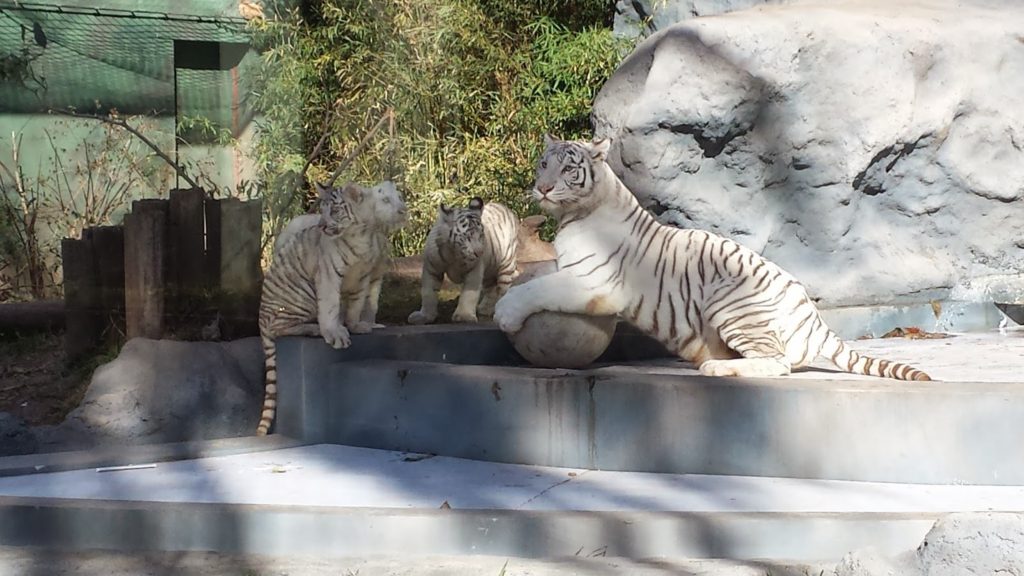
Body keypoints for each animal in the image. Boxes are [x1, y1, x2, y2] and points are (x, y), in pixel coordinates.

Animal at [256, 181, 407, 432]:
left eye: (334, 210)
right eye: (323, 209)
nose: (321, 225)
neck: (363, 235)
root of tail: (260, 321)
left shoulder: (364, 276)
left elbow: (357, 304)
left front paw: (357, 326)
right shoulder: (328, 275)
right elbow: (330, 306)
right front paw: (335, 334)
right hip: (301, 295)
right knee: (279, 328)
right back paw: (314, 328)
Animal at [407, 195, 520, 323]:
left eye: (481, 235)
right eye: (467, 237)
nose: (480, 252)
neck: (453, 253)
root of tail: (505, 207)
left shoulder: (474, 270)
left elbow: (469, 293)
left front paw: (464, 316)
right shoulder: (431, 268)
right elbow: (428, 293)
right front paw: (424, 316)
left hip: (506, 264)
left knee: (503, 288)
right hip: (490, 270)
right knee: (491, 288)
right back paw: (485, 309)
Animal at [491, 132, 933, 379]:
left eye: (569, 170)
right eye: (543, 164)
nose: (543, 188)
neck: (574, 213)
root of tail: (814, 318)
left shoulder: (596, 282)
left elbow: (539, 289)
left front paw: (505, 312)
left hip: (732, 301)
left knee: (778, 362)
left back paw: (718, 367)